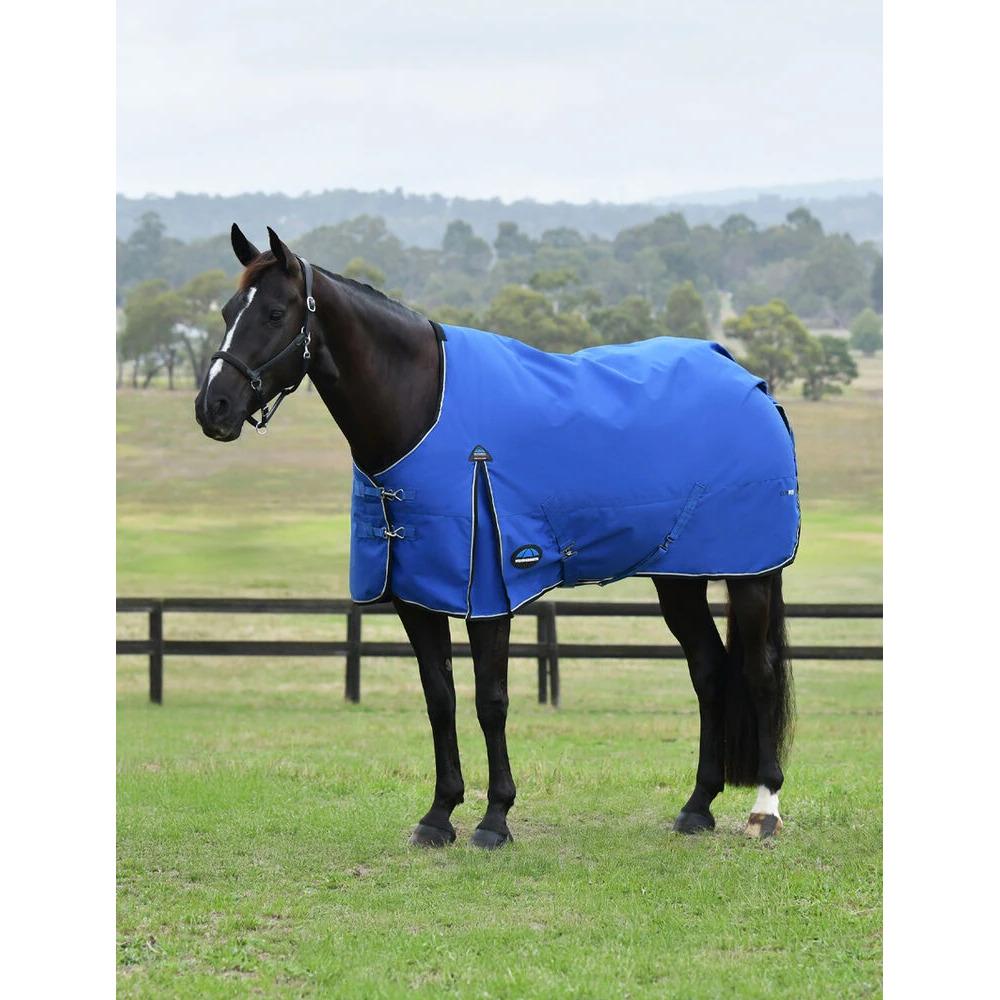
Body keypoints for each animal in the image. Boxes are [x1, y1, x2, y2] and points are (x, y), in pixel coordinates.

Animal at [195, 224, 796, 847]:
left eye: (274, 312)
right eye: (228, 310)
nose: (213, 407)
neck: (421, 408)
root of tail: (753, 383)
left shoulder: (488, 592)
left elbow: (491, 701)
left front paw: (494, 818)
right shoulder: (417, 595)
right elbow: (440, 699)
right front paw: (438, 815)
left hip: (750, 574)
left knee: (758, 672)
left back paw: (765, 809)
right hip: (678, 577)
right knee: (709, 670)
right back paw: (697, 806)